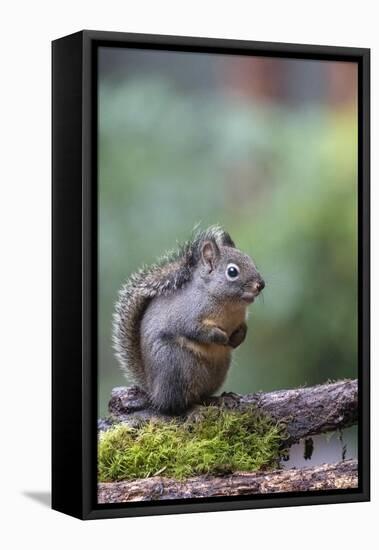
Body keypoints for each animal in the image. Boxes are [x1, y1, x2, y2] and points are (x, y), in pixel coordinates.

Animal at [114, 226, 266, 416]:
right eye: (232, 272)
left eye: (251, 261)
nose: (261, 284)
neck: (228, 304)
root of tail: (153, 390)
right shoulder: (187, 316)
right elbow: (195, 330)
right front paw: (221, 338)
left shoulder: (240, 319)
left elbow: (243, 327)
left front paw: (238, 338)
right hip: (176, 365)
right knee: (174, 404)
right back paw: (194, 410)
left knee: (199, 395)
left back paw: (219, 398)